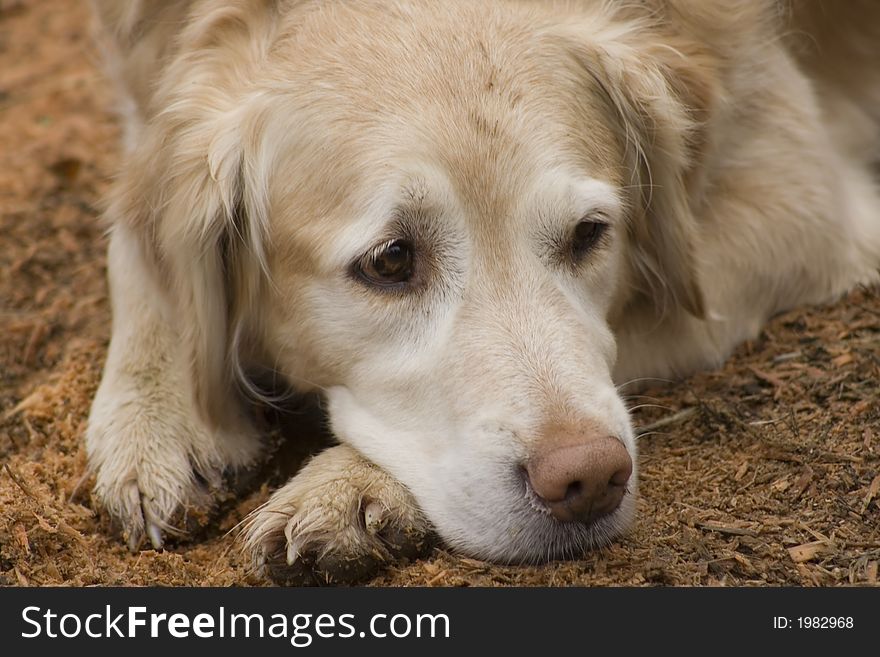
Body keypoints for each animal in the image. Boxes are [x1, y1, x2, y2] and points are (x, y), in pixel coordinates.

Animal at [84, 0, 880, 584]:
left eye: (590, 234)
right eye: (391, 260)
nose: (590, 479)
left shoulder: (803, 209)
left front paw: (345, 488)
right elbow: (136, 242)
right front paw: (157, 420)